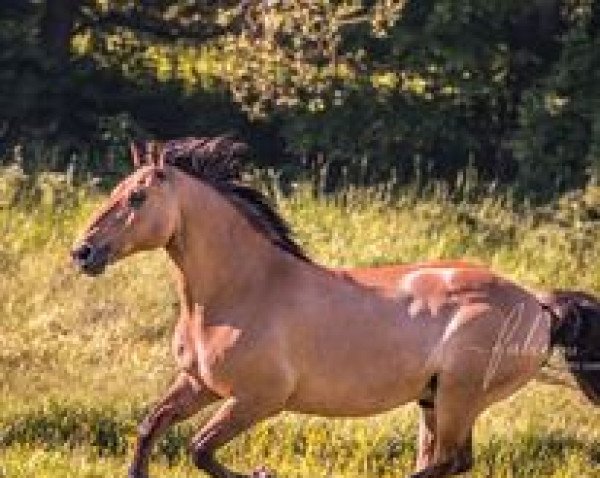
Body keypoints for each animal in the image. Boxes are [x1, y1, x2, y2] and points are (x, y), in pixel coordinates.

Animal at [72, 136, 600, 476]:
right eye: (115, 191)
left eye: (137, 197)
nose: (83, 252)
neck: (241, 290)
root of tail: (538, 306)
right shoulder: (199, 384)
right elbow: (150, 428)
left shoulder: (258, 399)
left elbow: (200, 450)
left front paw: (263, 472)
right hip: (435, 399)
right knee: (446, 463)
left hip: (459, 396)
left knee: (450, 462)